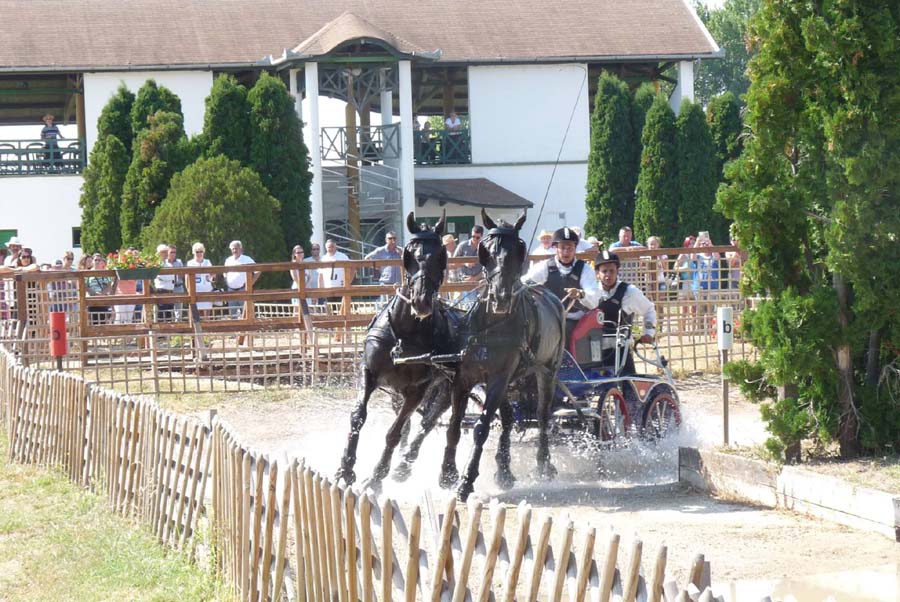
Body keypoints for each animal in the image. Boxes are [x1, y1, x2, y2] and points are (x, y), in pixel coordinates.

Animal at [334, 211, 454, 488]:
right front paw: (346, 468)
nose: (421, 301)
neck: (405, 332)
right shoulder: (368, 373)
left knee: (426, 423)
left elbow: (394, 432)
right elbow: (358, 416)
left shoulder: (418, 390)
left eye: (441, 256)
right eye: (410, 255)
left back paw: (403, 466)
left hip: (447, 389)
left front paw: (376, 478)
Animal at [398, 209, 568, 500]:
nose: (500, 297)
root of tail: (550, 296)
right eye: (486, 250)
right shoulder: (464, 378)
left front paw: (466, 481)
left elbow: (481, 428)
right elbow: (453, 426)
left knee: (543, 415)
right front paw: (447, 474)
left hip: (547, 372)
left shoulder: (499, 378)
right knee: (507, 418)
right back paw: (504, 470)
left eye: (518, 249)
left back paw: (543, 464)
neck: (492, 322)